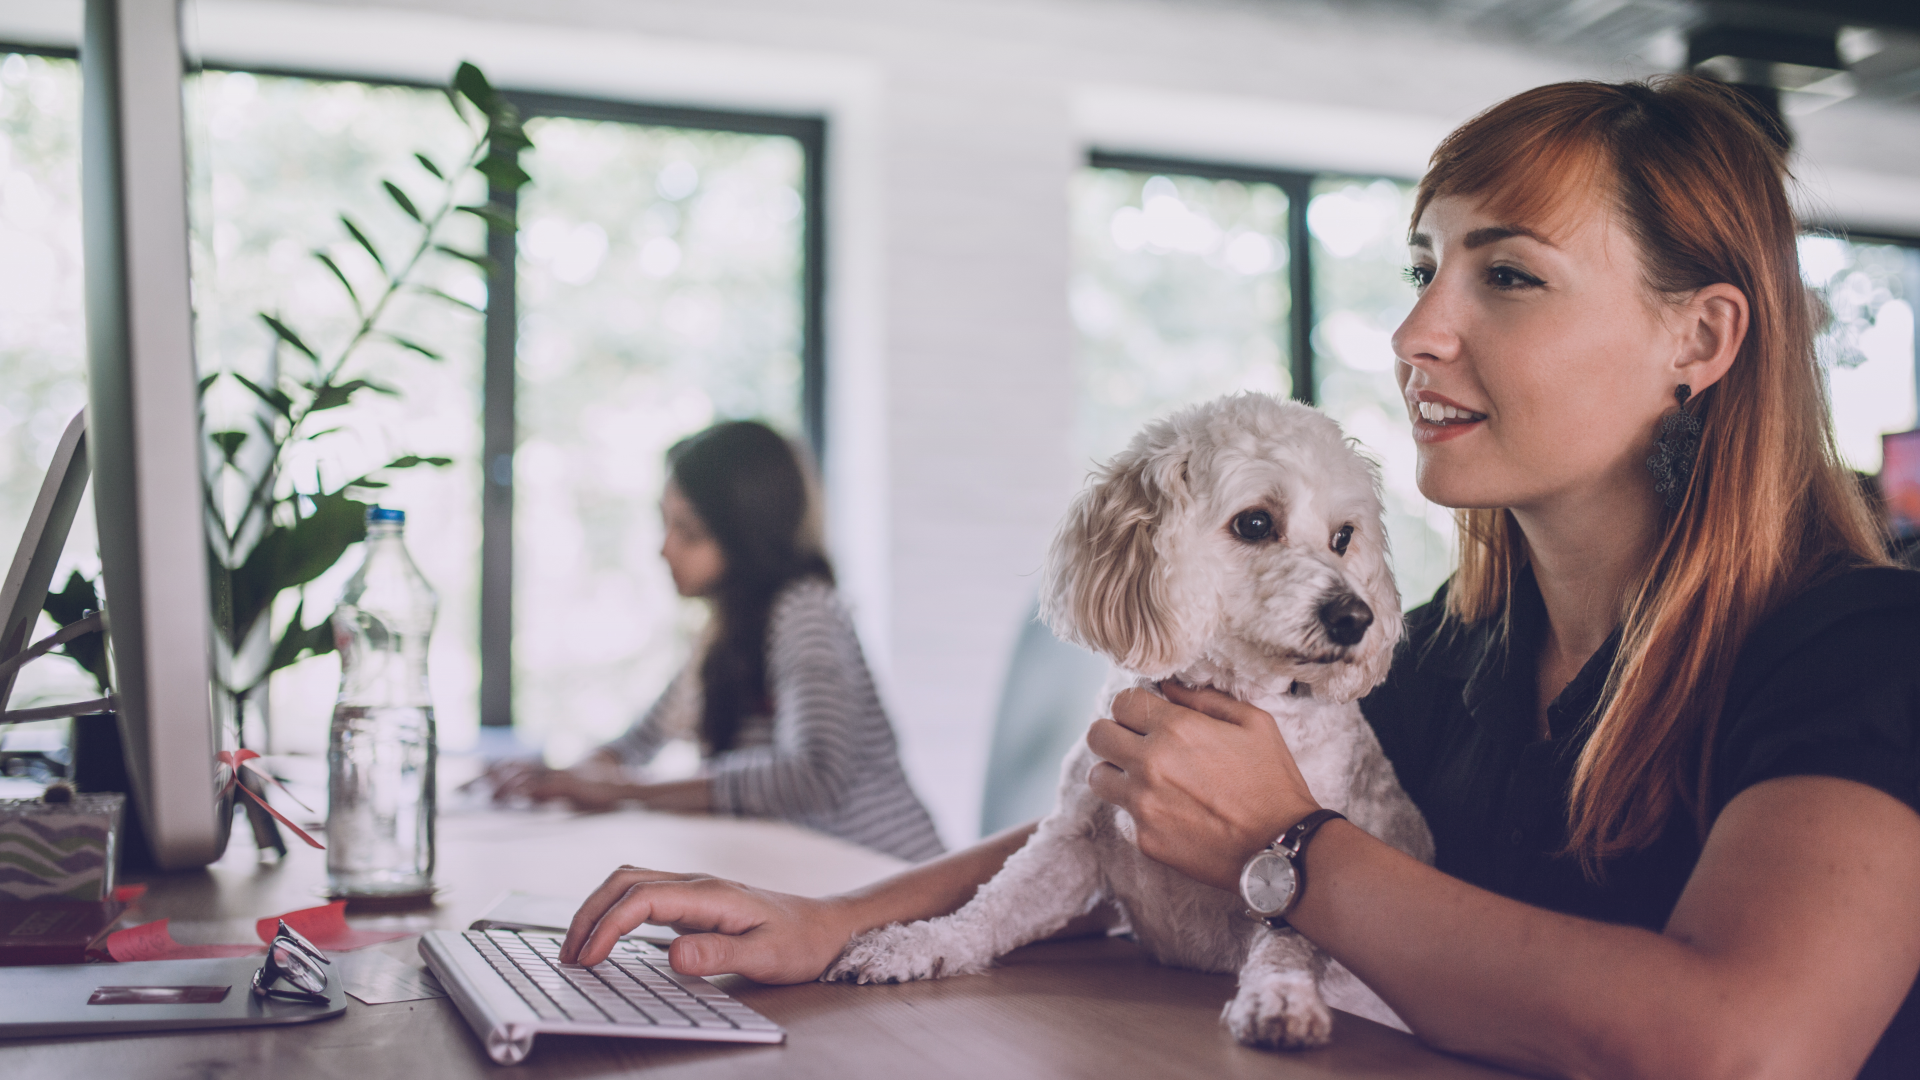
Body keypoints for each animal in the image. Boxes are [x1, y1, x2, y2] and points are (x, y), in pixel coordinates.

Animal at [825, 393, 1443, 1045]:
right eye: (1255, 523)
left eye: (1343, 537)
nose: (1357, 618)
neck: (1231, 695)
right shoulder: (1073, 841)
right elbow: (991, 905)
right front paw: (915, 943)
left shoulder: (1289, 885)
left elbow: (1286, 944)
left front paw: (1280, 997)